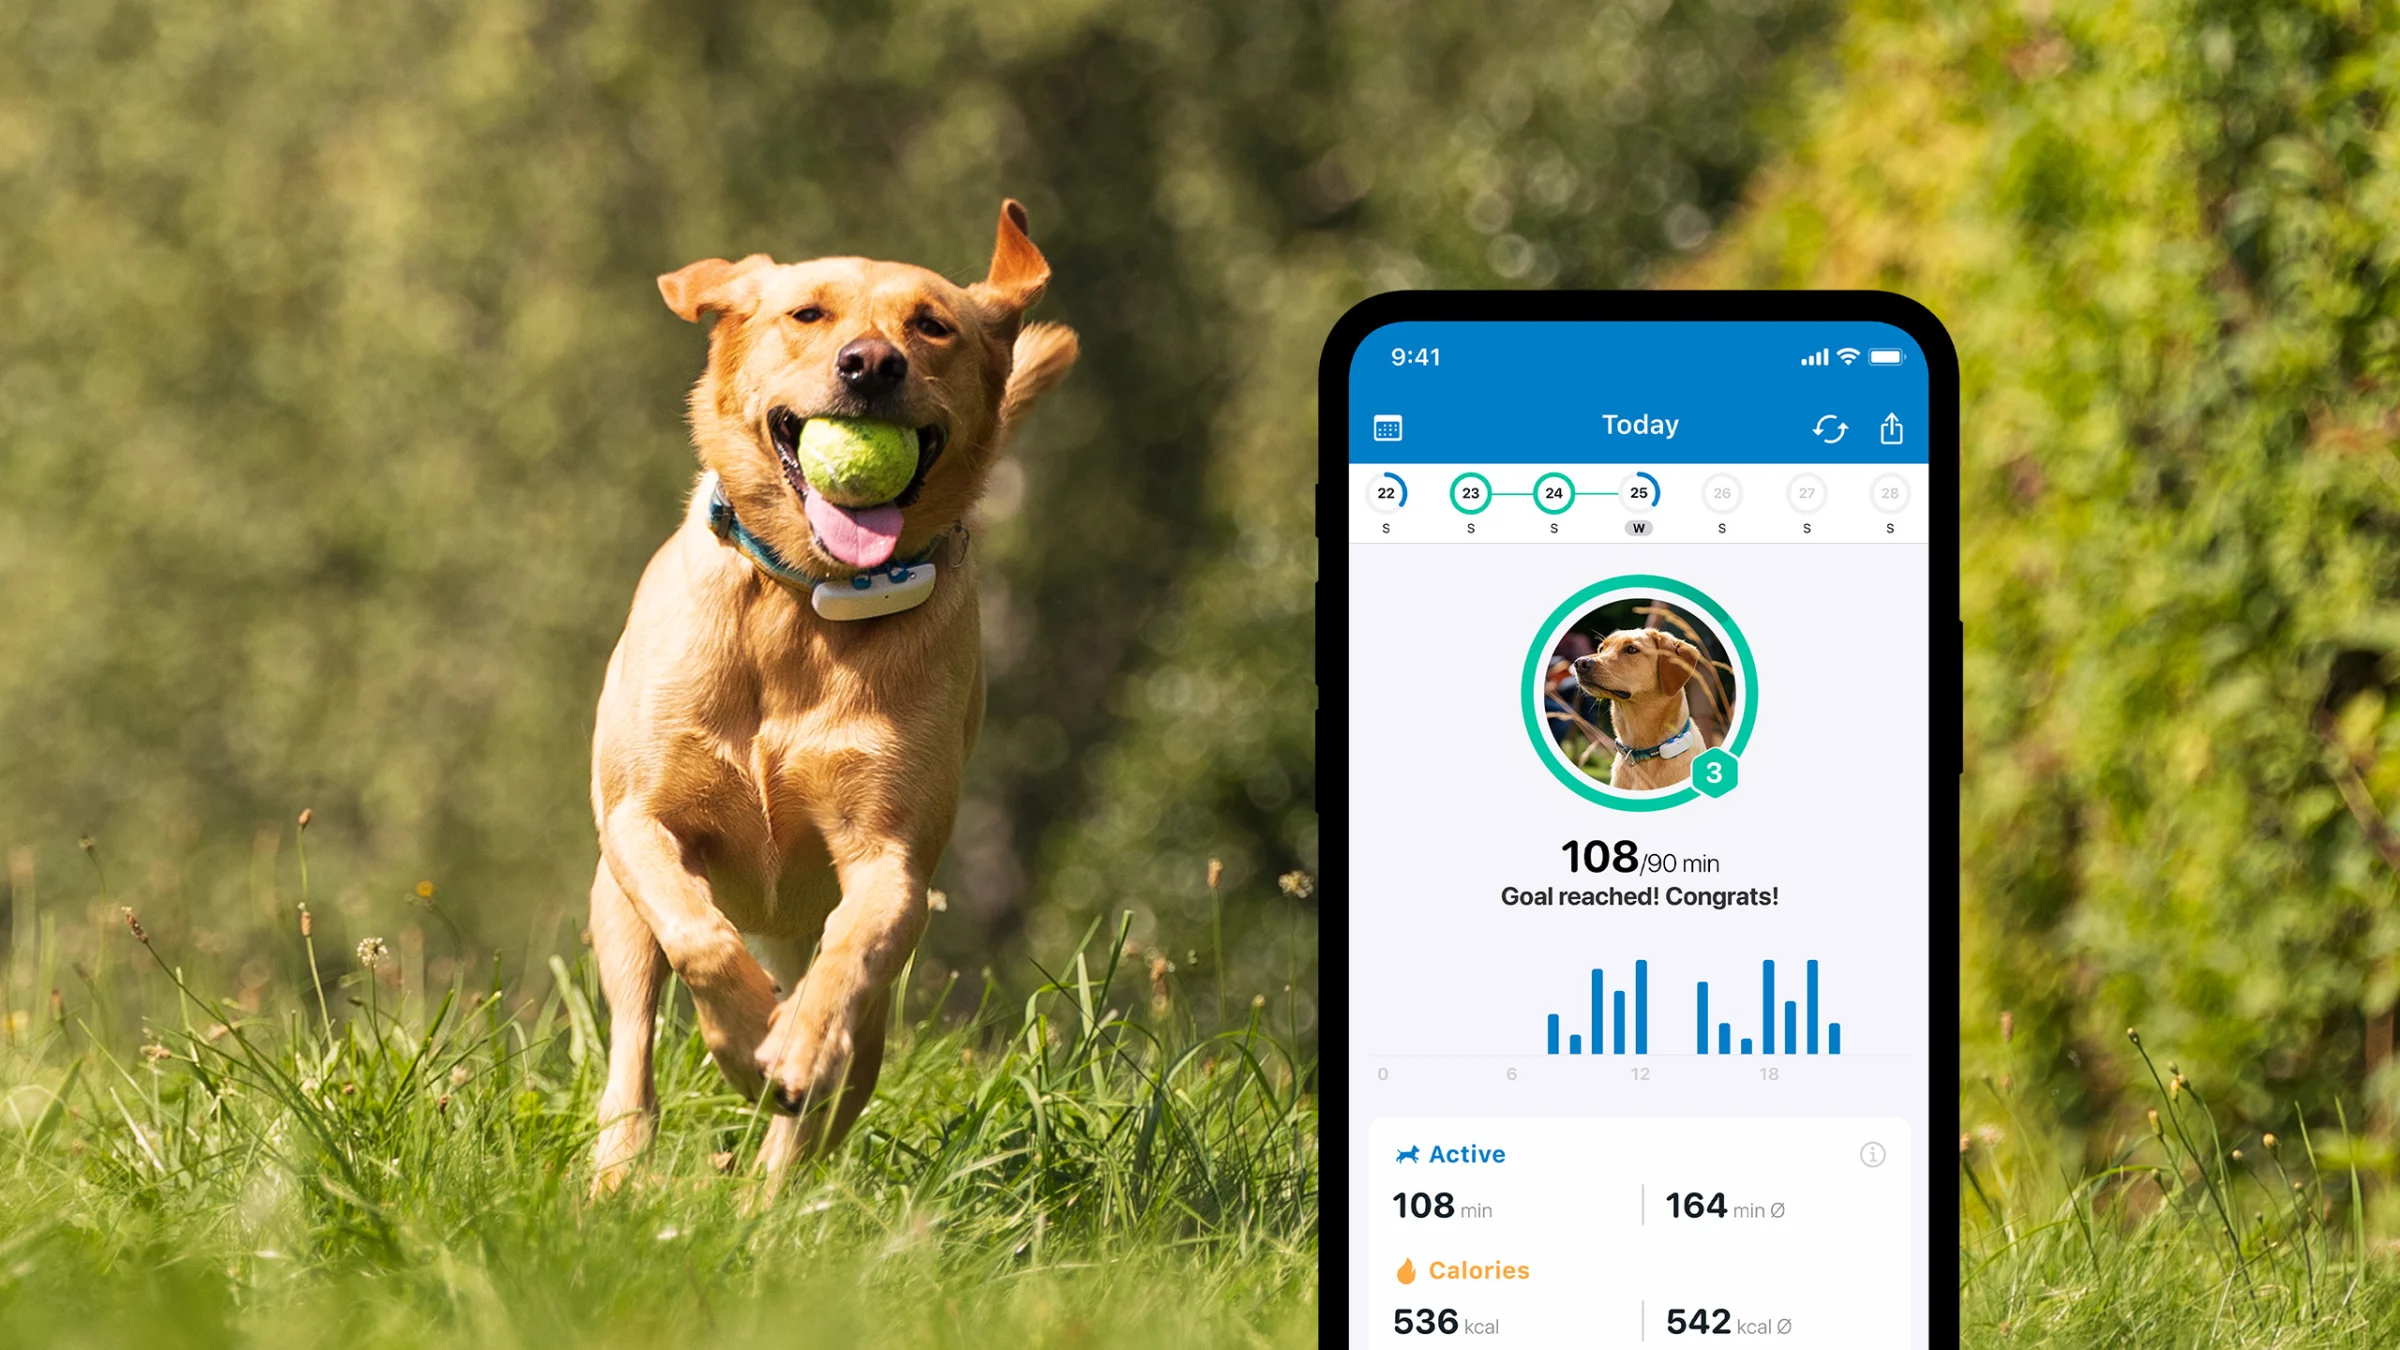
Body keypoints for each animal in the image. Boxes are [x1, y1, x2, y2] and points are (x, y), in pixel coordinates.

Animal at [585, 201, 1075, 1186]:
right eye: (806, 313)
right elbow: (696, 935)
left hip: (877, 1026)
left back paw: (767, 1189)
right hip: (611, 906)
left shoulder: (892, 861)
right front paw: (745, 1039)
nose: (872, 364)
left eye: (933, 325)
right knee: (634, 1047)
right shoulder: (639, 821)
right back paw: (618, 1169)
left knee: (816, 1102)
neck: (804, 607)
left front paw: (794, 1044)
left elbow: (851, 953)